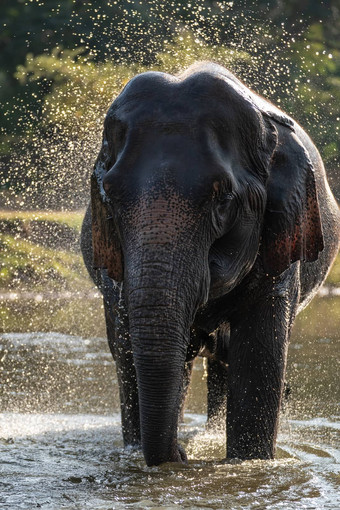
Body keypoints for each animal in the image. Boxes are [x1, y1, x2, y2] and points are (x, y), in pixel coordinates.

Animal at [80, 61, 340, 464]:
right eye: (109, 194)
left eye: (223, 200)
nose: (182, 454)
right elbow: (126, 350)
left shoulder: (279, 252)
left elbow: (259, 360)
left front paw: (245, 462)